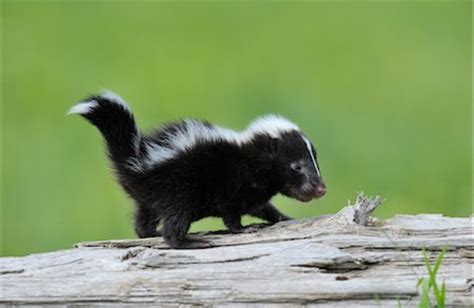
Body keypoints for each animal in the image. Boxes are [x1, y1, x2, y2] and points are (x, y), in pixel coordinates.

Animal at [68, 91, 326, 248]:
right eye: (296, 166)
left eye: (315, 161)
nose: (320, 189)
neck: (249, 156)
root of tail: (137, 159)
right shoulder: (231, 183)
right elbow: (231, 214)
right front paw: (243, 229)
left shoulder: (252, 191)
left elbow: (263, 208)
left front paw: (283, 217)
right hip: (178, 190)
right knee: (174, 224)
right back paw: (188, 242)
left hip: (150, 198)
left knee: (143, 220)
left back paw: (150, 233)